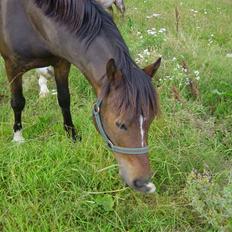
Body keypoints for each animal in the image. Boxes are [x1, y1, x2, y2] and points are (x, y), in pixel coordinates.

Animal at [0, 0, 161, 192]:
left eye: (151, 120)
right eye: (120, 124)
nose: (145, 184)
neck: (29, 16)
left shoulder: (62, 62)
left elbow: (64, 99)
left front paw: (72, 135)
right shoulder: (13, 66)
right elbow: (18, 102)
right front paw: (18, 139)